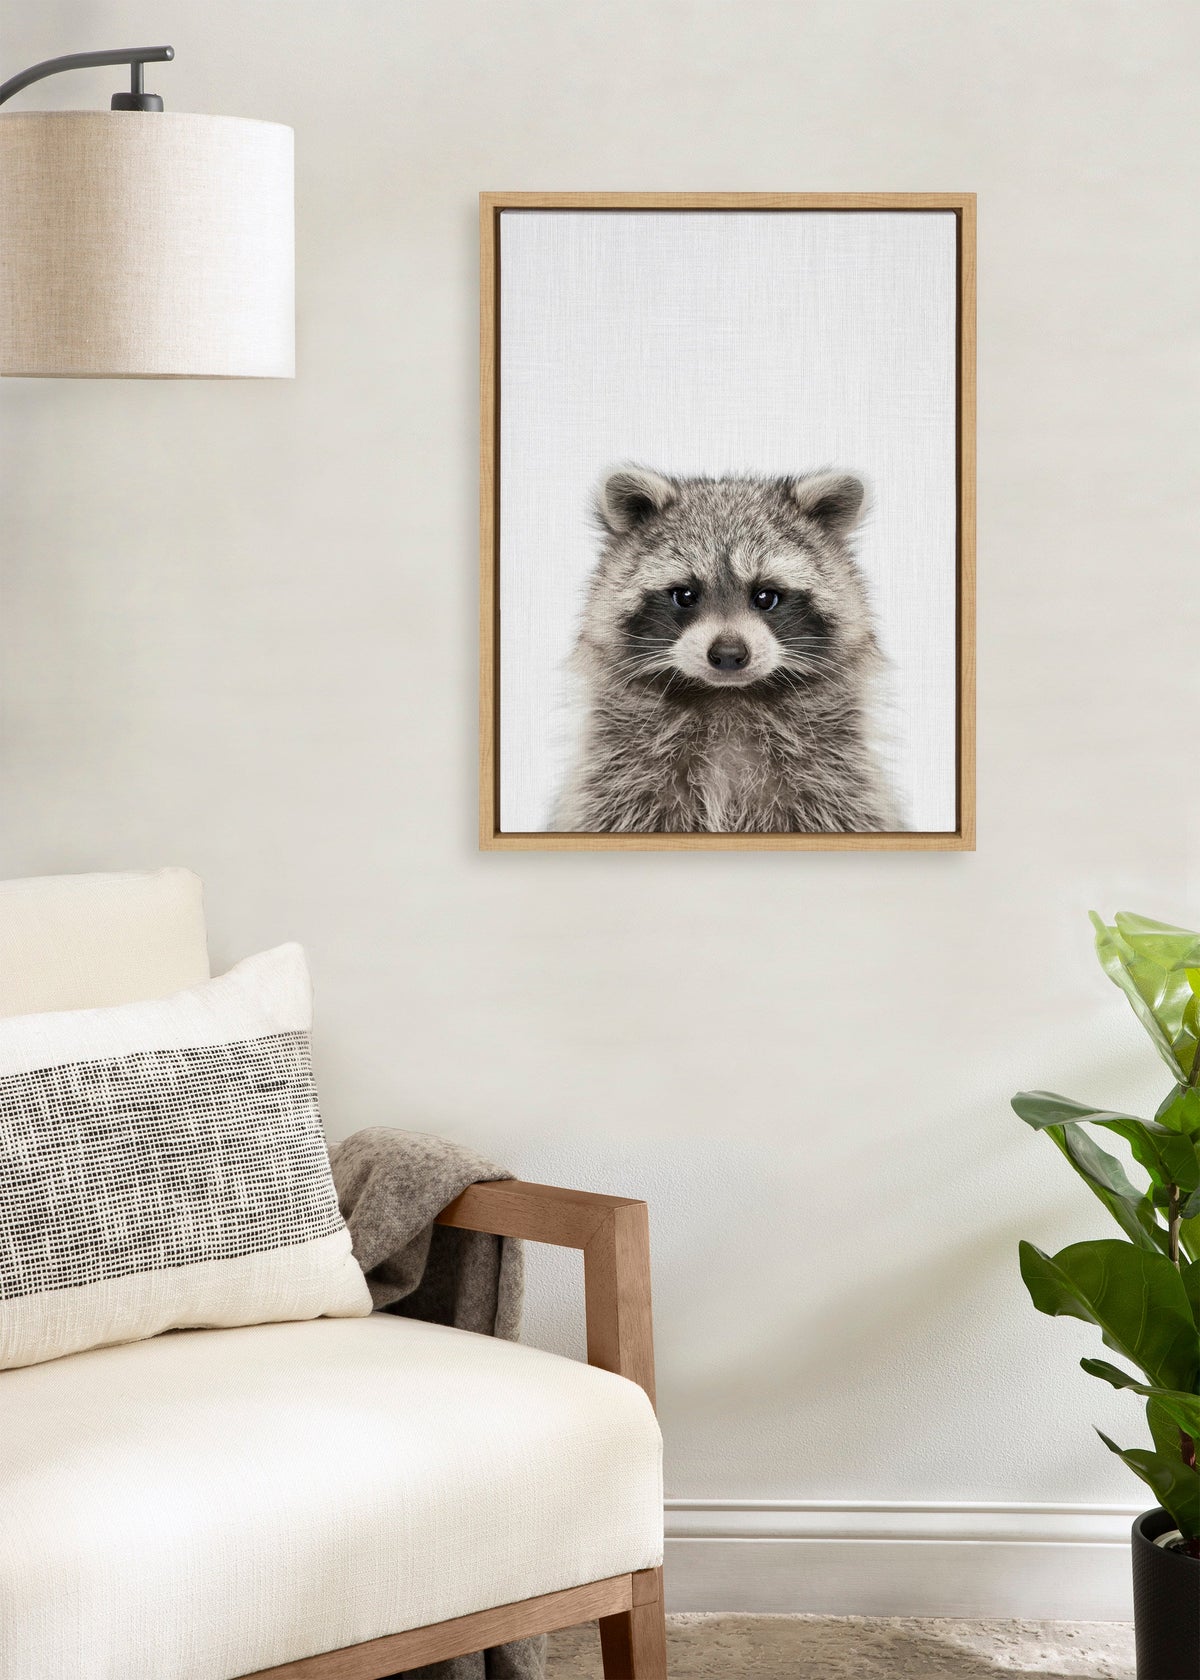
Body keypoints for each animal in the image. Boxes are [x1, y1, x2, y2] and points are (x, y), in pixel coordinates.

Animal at [551, 466, 903, 834]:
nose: (729, 654)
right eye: (685, 595)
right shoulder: (619, 775)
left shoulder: (834, 776)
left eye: (766, 596)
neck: (726, 697)